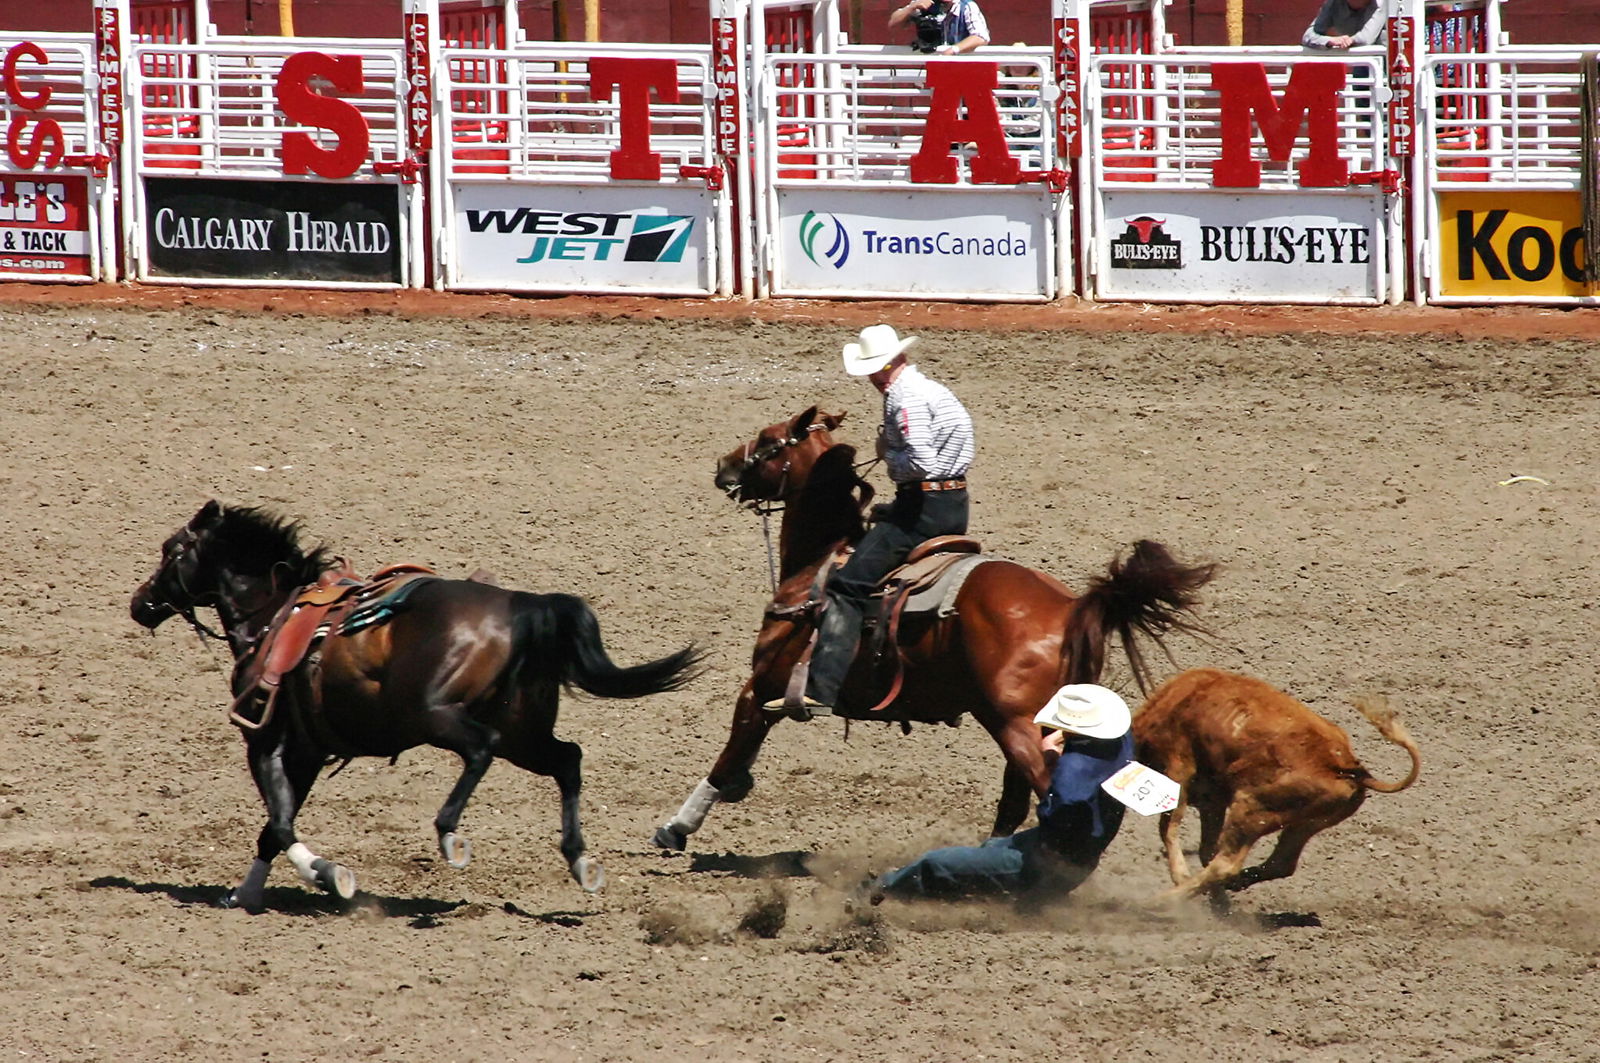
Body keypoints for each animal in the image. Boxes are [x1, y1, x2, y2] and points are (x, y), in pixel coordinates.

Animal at [131, 500, 700, 912]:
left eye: (170, 551)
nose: (140, 604)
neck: (273, 616)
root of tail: (522, 606)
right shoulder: (307, 750)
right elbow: (275, 825)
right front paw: (248, 893)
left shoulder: (265, 741)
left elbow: (280, 822)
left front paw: (327, 874)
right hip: (524, 733)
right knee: (567, 759)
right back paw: (579, 861)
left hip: (438, 717)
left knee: (482, 750)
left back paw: (450, 835)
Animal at [652, 406, 1217, 852]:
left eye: (770, 438)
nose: (724, 465)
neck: (819, 561)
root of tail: (1070, 607)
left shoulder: (764, 685)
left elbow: (729, 752)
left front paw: (677, 827)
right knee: (1019, 800)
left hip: (1017, 725)